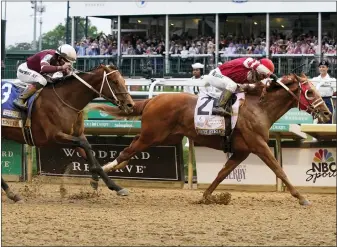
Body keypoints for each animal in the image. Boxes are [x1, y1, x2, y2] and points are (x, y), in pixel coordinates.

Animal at [2, 64, 135, 203]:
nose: (130, 105)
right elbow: (85, 146)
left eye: (124, 81)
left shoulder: (76, 135)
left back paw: (12, 195)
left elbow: (90, 153)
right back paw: (13, 194)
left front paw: (114, 186)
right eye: (114, 81)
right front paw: (94, 178)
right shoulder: (54, 136)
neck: (65, 101)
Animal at [86, 73, 330, 206]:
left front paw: (205, 196)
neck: (259, 107)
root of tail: (151, 100)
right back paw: (100, 176)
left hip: (161, 136)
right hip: (151, 135)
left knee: (129, 152)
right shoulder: (258, 145)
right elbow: (279, 170)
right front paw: (301, 197)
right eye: (310, 92)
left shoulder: (242, 151)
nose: (327, 113)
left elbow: (222, 173)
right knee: (125, 152)